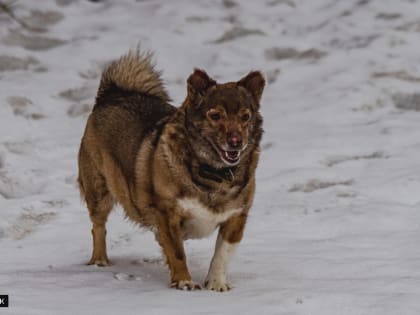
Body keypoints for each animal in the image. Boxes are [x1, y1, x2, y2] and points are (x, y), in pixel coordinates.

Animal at [77, 48, 264, 292]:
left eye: (245, 116)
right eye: (215, 116)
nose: (236, 142)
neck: (213, 174)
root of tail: (113, 94)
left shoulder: (236, 217)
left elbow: (222, 255)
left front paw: (216, 284)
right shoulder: (168, 214)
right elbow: (177, 253)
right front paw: (184, 281)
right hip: (99, 191)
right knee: (98, 227)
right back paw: (99, 260)